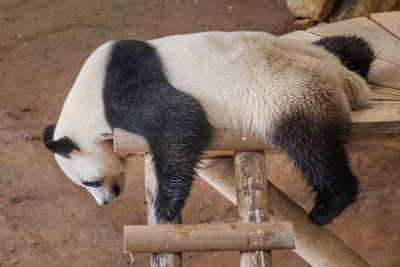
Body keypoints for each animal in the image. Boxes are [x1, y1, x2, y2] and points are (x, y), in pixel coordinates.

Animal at [43, 32, 376, 227]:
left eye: (90, 182)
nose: (105, 202)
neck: (88, 99)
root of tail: (344, 78)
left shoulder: (123, 85)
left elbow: (181, 119)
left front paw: (165, 207)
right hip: (310, 55)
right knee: (352, 45)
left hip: (292, 92)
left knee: (312, 147)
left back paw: (327, 206)